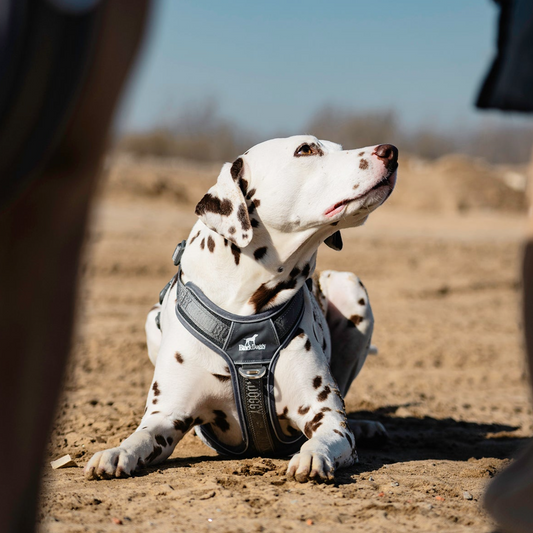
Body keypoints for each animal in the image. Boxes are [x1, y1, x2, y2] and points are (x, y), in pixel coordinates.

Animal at [85, 136, 396, 482]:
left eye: (338, 147)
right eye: (305, 149)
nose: (390, 151)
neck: (245, 311)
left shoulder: (326, 417)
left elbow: (328, 436)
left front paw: (313, 455)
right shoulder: (165, 416)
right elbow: (139, 437)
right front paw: (116, 452)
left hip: (352, 288)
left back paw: (365, 427)